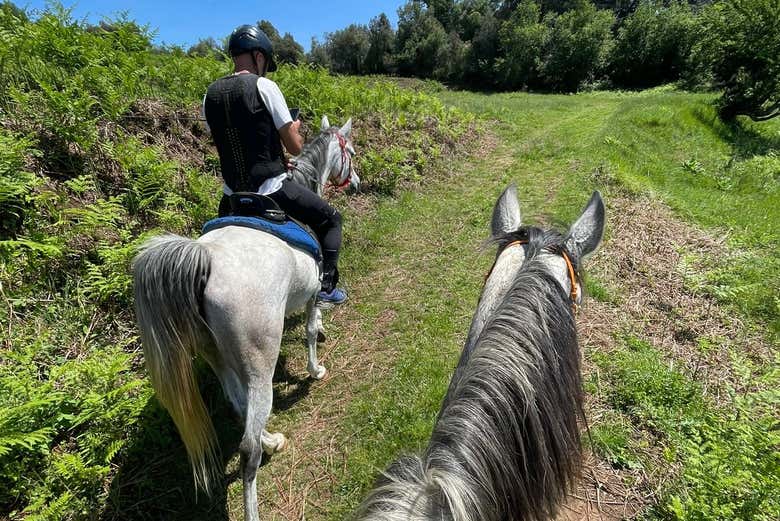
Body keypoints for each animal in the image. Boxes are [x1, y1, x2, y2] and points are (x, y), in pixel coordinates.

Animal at [132, 116, 359, 521]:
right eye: (350, 152)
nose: (357, 181)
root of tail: (205, 259)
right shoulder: (312, 292)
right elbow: (311, 328)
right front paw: (315, 368)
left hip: (215, 354)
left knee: (240, 407)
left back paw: (272, 441)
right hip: (258, 363)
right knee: (247, 449)